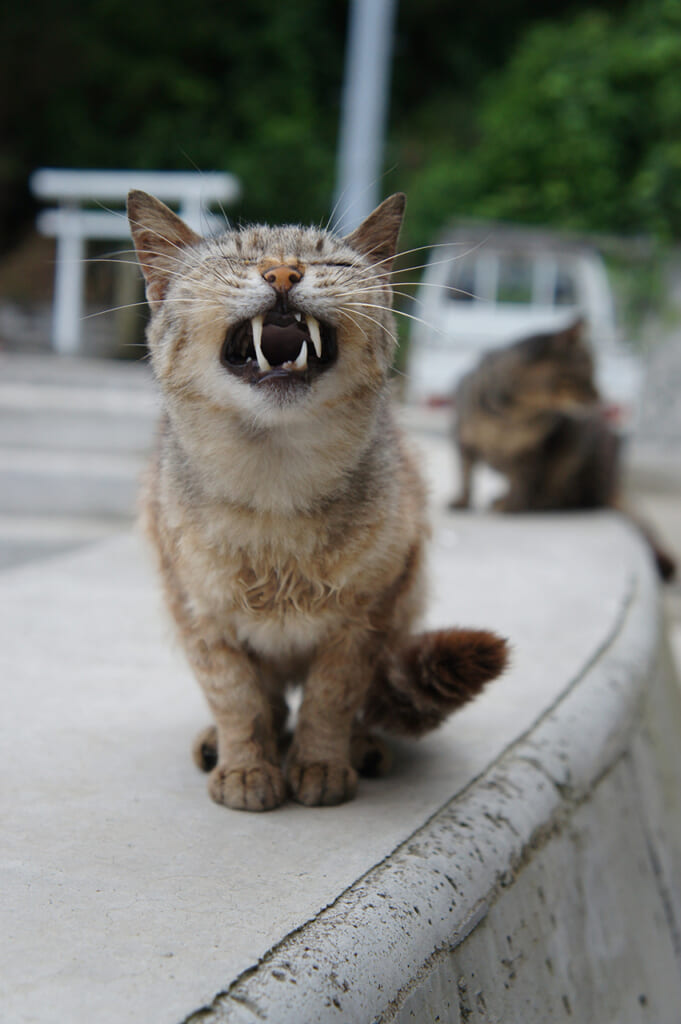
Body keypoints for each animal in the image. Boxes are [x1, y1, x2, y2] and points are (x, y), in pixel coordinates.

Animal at [127, 192, 507, 811]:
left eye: (334, 263)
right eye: (235, 259)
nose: (283, 273)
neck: (275, 487)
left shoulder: (367, 616)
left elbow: (332, 699)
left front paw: (323, 764)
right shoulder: (199, 615)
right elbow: (236, 699)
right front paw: (246, 769)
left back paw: (362, 746)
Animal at [446, 319, 675, 577]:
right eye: (589, 372)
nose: (601, 397)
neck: (513, 414)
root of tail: (613, 484)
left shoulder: (534, 452)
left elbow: (522, 482)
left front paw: (511, 506)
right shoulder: (462, 439)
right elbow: (465, 475)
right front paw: (463, 501)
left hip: (585, 450)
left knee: (570, 499)